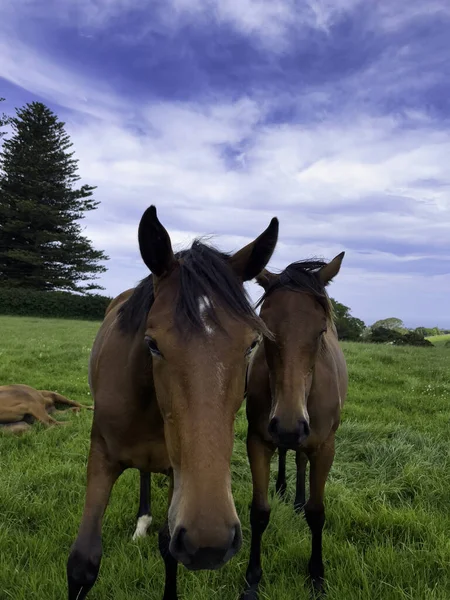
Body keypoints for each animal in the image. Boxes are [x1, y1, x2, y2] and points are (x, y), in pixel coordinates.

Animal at [66, 205, 278, 600]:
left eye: (251, 345)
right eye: (152, 344)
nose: (209, 542)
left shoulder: (177, 476)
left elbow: (168, 548)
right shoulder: (101, 456)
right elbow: (82, 561)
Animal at [239, 254, 348, 600]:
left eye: (320, 330)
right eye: (264, 327)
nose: (288, 425)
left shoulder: (325, 447)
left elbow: (317, 512)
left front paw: (316, 577)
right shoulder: (257, 441)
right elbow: (259, 512)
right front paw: (252, 580)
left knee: (299, 458)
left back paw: (297, 498)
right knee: (288, 453)